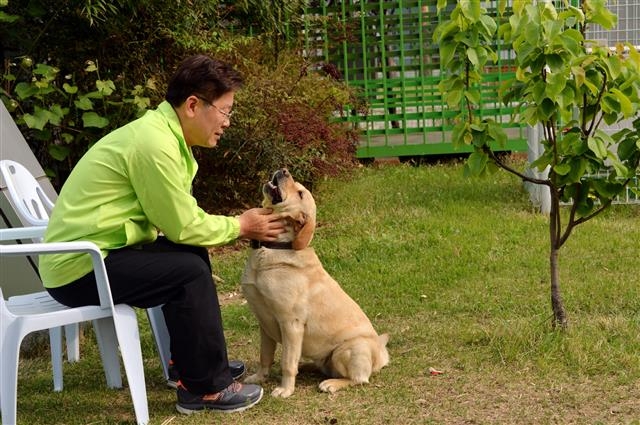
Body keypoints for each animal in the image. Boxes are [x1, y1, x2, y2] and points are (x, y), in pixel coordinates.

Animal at [241, 168, 389, 397]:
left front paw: (285, 389)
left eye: (300, 193)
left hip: (347, 350)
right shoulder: (264, 323)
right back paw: (306, 367)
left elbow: (287, 362)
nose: (284, 170)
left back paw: (332, 383)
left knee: (358, 379)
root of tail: (381, 355)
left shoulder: (291, 323)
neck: (274, 248)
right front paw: (259, 377)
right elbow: (265, 356)